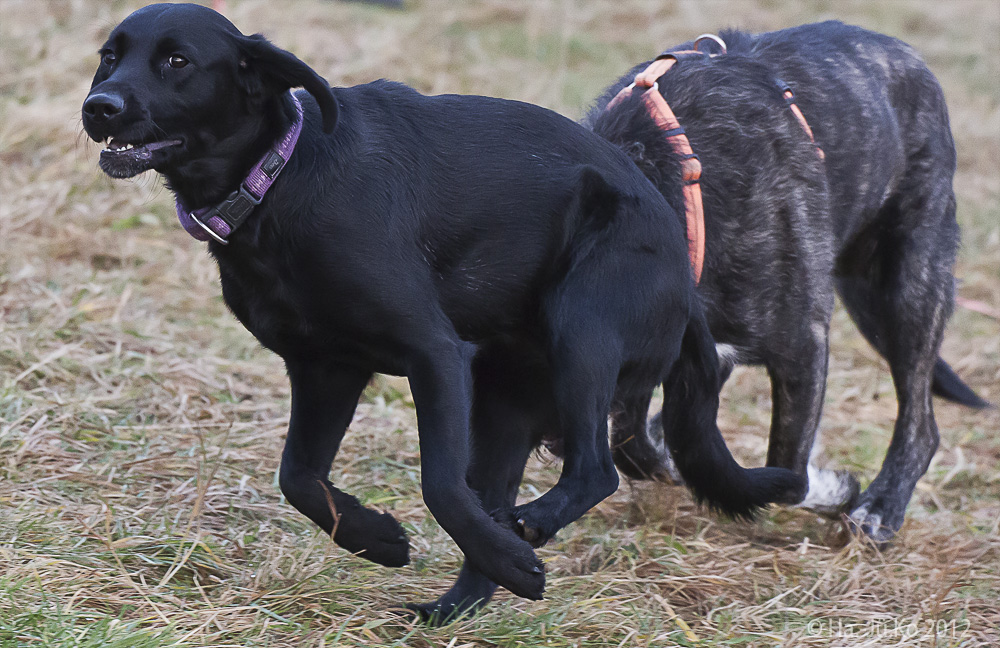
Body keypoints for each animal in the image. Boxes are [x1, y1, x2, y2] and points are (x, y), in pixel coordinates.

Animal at [80, 5, 804, 620]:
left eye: (177, 61)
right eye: (109, 57)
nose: (98, 106)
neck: (278, 179)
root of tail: (684, 284)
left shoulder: (435, 355)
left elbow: (440, 485)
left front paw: (495, 552)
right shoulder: (325, 368)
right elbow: (299, 476)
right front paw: (376, 538)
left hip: (585, 329)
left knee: (592, 471)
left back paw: (527, 536)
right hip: (505, 406)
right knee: (508, 495)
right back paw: (461, 601)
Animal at [588, 20, 988, 544]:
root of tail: (907, 55)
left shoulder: (803, 347)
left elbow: (789, 471)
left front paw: (831, 490)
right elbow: (633, 443)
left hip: (908, 292)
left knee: (920, 423)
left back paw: (880, 507)